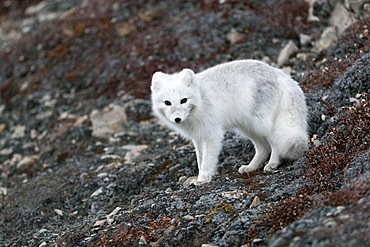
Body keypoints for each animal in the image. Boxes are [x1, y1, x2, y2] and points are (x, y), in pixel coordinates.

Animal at [150, 59, 306, 183]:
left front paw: (203, 179)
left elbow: (207, 160)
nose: (177, 119)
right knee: (263, 148)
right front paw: (201, 176)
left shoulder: (212, 134)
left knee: (274, 143)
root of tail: (278, 72)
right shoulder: (198, 138)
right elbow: (200, 159)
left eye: (183, 100)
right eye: (167, 103)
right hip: (248, 127)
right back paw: (251, 167)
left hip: (260, 123)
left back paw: (272, 164)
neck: (201, 99)